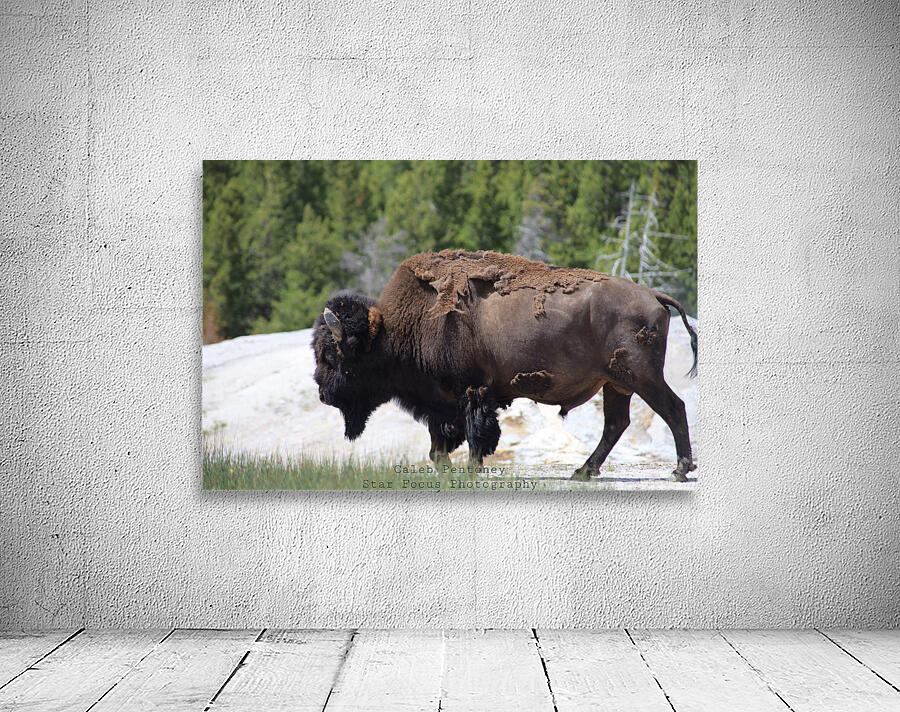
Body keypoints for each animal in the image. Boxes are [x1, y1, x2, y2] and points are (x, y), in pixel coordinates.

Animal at [312, 250, 697, 481]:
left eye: (332, 355)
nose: (322, 393)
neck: (395, 329)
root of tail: (653, 295)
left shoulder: (470, 391)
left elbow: (475, 433)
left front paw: (471, 469)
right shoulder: (442, 402)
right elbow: (439, 442)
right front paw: (448, 468)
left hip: (641, 376)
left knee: (673, 408)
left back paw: (679, 470)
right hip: (616, 384)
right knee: (616, 424)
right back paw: (582, 472)